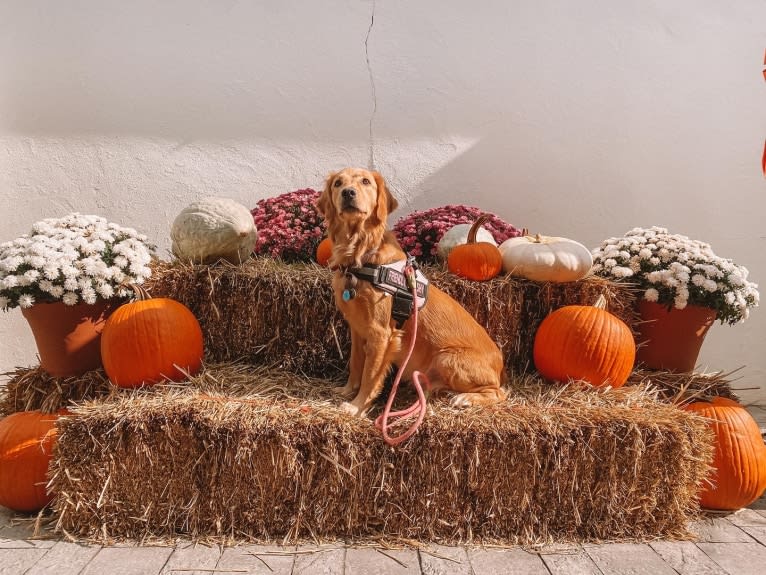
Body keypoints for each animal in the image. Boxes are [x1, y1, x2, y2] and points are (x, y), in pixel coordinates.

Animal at [318, 169, 510, 416]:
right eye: (338, 183)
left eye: (365, 181)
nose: (348, 193)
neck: (360, 255)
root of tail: (501, 363)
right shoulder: (357, 329)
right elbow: (355, 363)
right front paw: (347, 390)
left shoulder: (381, 333)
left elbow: (370, 375)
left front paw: (357, 406)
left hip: (447, 357)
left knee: (498, 392)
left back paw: (465, 398)